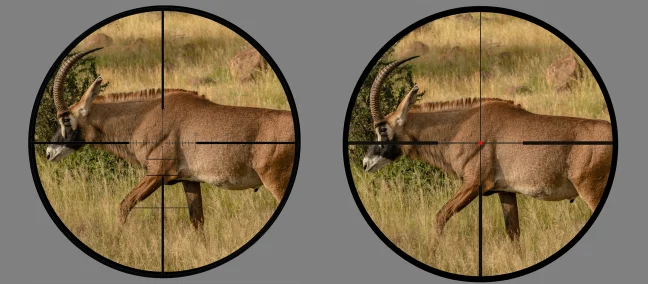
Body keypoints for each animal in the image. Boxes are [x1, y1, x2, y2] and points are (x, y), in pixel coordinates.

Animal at [45, 48, 296, 231]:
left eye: (66, 119)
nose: (49, 153)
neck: (146, 115)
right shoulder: (189, 180)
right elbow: (197, 221)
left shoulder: (157, 174)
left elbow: (124, 205)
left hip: (276, 181)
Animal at [362, 56, 612, 240]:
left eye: (382, 129)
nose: (365, 164)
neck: (462, 126)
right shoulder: (506, 191)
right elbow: (513, 233)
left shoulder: (474, 184)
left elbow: (440, 217)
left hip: (591, 190)